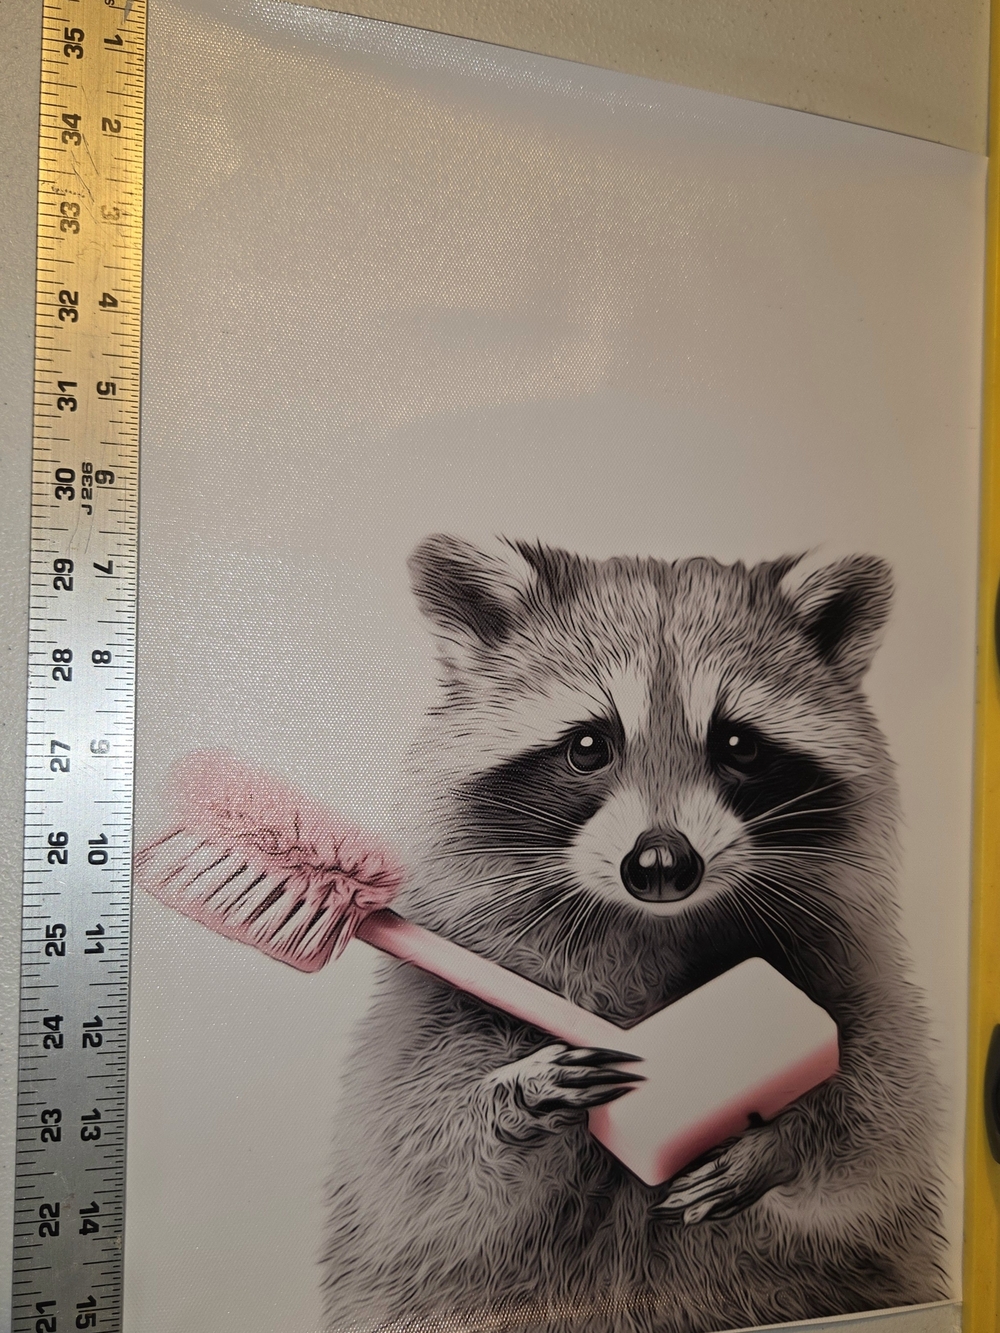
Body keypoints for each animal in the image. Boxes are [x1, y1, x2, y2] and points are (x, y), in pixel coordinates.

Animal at [321, 537, 946, 1333]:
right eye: (590, 745)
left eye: (738, 743)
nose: (662, 864)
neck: (651, 926)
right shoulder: (433, 1006)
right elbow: (415, 1176)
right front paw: (511, 1094)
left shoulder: (854, 966)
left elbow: (884, 1131)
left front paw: (788, 1135)